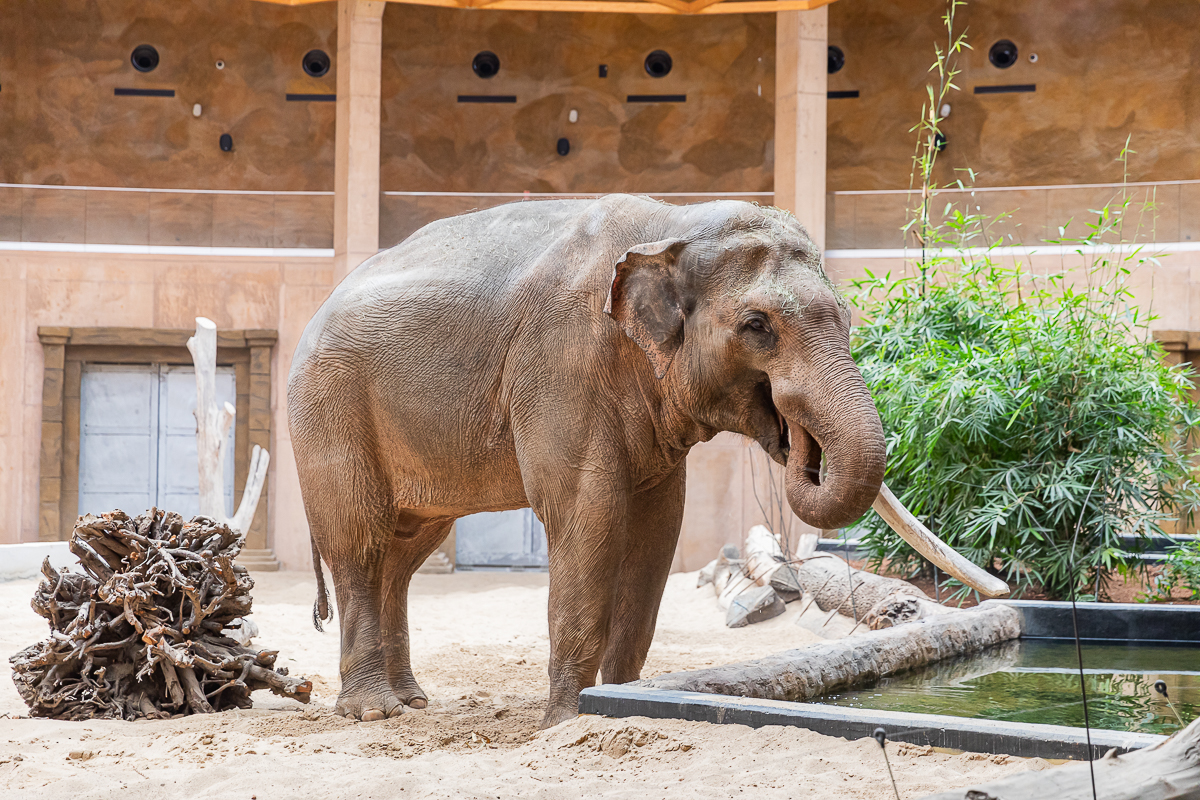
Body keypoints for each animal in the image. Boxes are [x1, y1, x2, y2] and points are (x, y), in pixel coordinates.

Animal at [285, 195, 998, 734]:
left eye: (845, 317)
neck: (671, 227)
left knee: (406, 553)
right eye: (758, 326)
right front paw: (564, 725)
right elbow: (588, 519)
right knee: (360, 542)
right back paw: (371, 713)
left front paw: (621, 707)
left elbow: (657, 532)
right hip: (329, 408)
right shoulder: (562, 365)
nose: (792, 434)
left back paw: (412, 702)